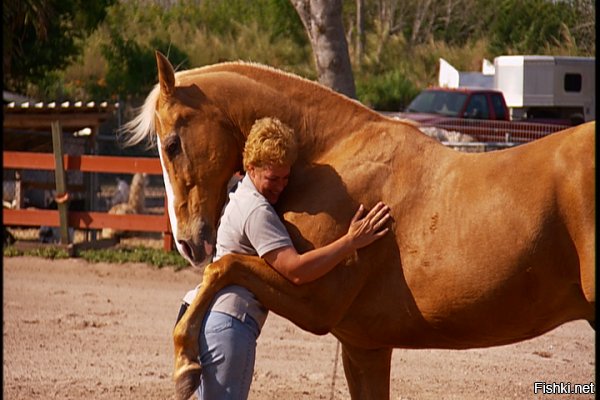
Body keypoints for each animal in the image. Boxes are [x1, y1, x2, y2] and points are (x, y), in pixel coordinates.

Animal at [124, 51, 592, 398]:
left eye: (171, 144)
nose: (188, 242)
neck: (333, 155)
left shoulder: (314, 301)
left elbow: (223, 268)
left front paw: (185, 364)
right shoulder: (363, 346)